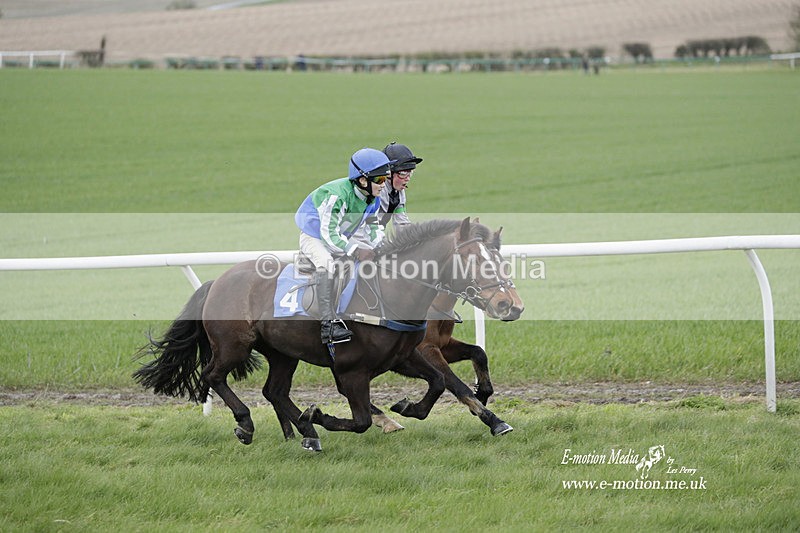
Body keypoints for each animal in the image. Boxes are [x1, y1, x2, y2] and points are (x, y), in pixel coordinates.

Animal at [134, 218, 524, 451]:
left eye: (501, 260)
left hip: (282, 352)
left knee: (274, 390)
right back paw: (248, 424)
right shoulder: (352, 370)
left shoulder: (406, 356)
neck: (392, 291)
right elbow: (363, 419)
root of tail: (217, 281)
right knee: (212, 374)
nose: (511, 305)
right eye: (476, 261)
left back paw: (305, 434)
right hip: (233, 345)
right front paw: (321, 416)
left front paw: (408, 407)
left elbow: (445, 380)